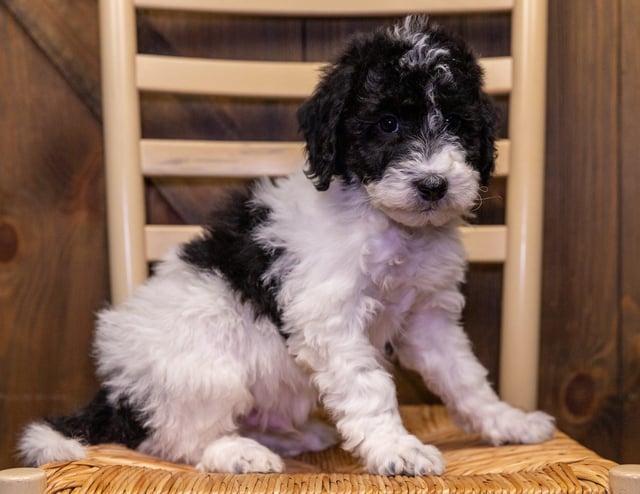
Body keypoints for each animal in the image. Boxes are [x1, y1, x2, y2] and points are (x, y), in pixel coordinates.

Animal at [20, 17, 556, 476]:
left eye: (458, 124)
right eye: (387, 124)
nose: (433, 186)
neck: (386, 223)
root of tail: (115, 391)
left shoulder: (427, 316)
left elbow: (464, 376)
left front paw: (508, 421)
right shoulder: (330, 316)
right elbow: (369, 386)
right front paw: (396, 450)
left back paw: (295, 437)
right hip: (206, 367)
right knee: (174, 439)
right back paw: (236, 453)